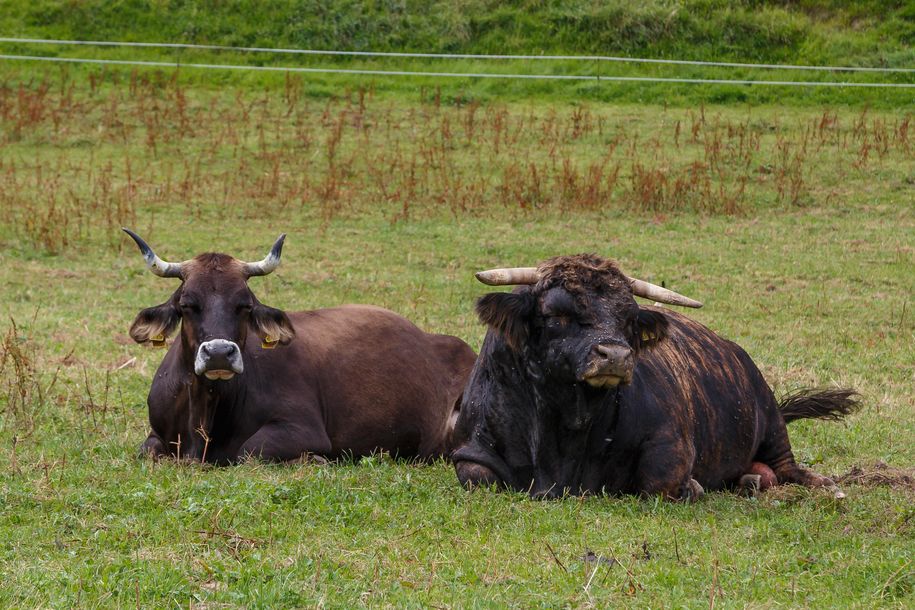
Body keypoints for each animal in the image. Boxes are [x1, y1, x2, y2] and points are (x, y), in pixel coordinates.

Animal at [124, 228, 476, 460]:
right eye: (187, 304)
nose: (220, 354)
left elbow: (248, 451)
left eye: (245, 305)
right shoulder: (156, 436)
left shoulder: (301, 428)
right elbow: (147, 450)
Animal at [454, 254, 864, 496]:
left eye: (628, 317)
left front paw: (693, 487)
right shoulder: (470, 454)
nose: (616, 356)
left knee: (787, 466)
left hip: (772, 423)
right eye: (556, 314)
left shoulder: (671, 444)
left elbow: (659, 481)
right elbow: (477, 476)